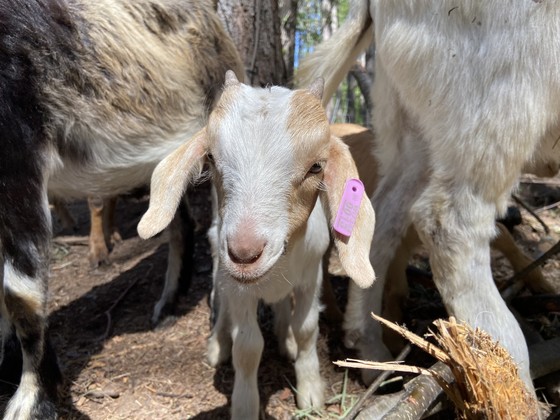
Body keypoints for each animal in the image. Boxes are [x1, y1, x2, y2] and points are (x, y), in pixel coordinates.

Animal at [0, 1, 243, 418]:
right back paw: (166, 306)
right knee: (180, 224)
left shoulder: (17, 154)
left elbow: (20, 294)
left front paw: (31, 402)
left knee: (215, 228)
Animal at [138, 70, 376, 418]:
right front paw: (245, 405)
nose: (244, 253)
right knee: (220, 300)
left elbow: (307, 330)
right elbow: (248, 346)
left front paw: (310, 390)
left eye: (317, 167)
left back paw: (284, 338)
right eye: (211, 158)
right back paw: (218, 344)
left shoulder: (311, 278)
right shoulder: (239, 289)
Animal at [300, 0, 560, 394]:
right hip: (501, 92)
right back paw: (510, 381)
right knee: (449, 222)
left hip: (416, 125)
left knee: (385, 216)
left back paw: (371, 351)